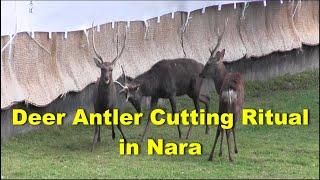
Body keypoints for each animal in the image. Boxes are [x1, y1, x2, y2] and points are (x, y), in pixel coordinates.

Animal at [90, 23, 127, 151]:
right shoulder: (97, 107)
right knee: (100, 123)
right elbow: (96, 126)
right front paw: (93, 145)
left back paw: (113, 135)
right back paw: (100, 138)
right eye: (102, 68)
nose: (106, 78)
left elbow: (118, 123)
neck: (106, 102)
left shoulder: (115, 106)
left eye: (111, 69)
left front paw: (125, 139)